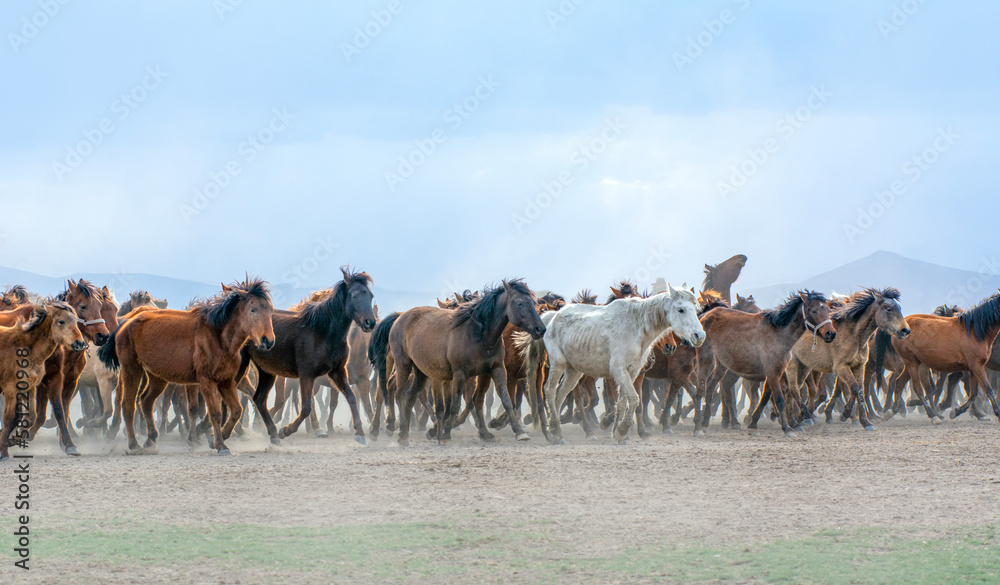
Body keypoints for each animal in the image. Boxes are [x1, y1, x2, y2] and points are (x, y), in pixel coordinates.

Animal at [99, 276, 276, 454]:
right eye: (253, 310)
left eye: (270, 310)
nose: (268, 340)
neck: (218, 337)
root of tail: (125, 324)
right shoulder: (206, 381)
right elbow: (215, 413)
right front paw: (220, 444)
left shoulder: (226, 381)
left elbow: (236, 410)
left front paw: (216, 438)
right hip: (131, 370)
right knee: (128, 404)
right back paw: (134, 444)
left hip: (157, 377)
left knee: (146, 401)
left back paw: (151, 439)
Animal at [376, 280, 548, 444]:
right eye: (519, 303)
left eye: (534, 303)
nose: (540, 329)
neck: (478, 334)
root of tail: (400, 317)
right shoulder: (460, 374)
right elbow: (455, 404)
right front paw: (445, 433)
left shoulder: (496, 370)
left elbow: (503, 400)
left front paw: (517, 432)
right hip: (404, 364)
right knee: (400, 394)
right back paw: (396, 429)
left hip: (420, 371)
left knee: (411, 396)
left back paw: (404, 433)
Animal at [524, 284, 704, 442]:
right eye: (680, 309)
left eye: (696, 309)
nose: (699, 336)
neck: (635, 327)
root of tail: (552, 317)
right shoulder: (619, 371)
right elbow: (633, 399)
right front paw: (622, 430)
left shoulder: (632, 372)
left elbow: (624, 401)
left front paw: (618, 432)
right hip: (558, 364)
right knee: (549, 390)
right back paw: (557, 429)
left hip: (574, 371)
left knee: (560, 394)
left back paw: (556, 431)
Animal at [700, 290, 840, 434]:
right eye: (813, 310)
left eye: (827, 309)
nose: (831, 333)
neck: (779, 334)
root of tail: (704, 316)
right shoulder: (772, 372)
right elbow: (779, 399)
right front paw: (787, 427)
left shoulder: (778, 372)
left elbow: (773, 395)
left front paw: (757, 421)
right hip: (706, 358)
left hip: (723, 364)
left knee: (712, 384)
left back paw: (707, 421)